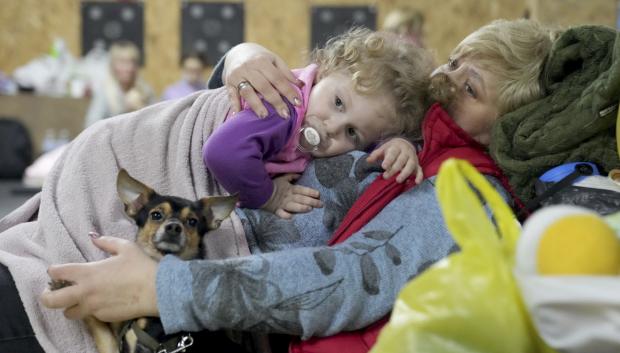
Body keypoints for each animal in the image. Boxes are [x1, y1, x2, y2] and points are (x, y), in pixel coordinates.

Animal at [50, 169, 237, 350]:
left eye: (192, 221)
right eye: (156, 215)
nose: (174, 227)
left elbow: (98, 328)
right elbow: (104, 329)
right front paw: (63, 285)